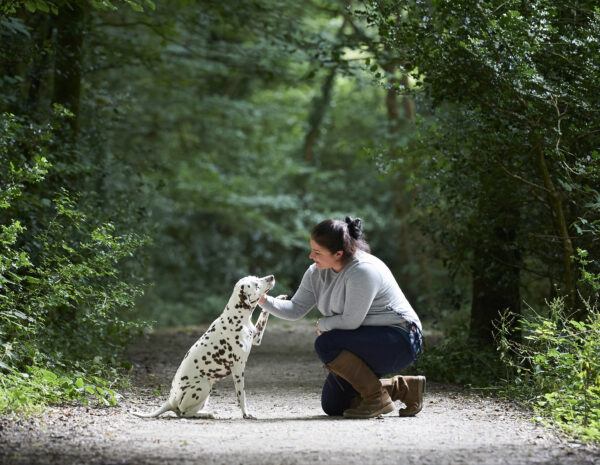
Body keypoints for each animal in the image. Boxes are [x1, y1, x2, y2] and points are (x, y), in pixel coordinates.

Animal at [132, 274, 276, 418]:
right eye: (256, 285)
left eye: (257, 277)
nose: (271, 277)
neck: (236, 318)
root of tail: (170, 400)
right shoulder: (238, 369)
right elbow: (242, 396)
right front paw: (245, 414)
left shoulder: (257, 338)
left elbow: (264, 313)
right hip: (204, 386)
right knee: (184, 413)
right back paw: (206, 414)